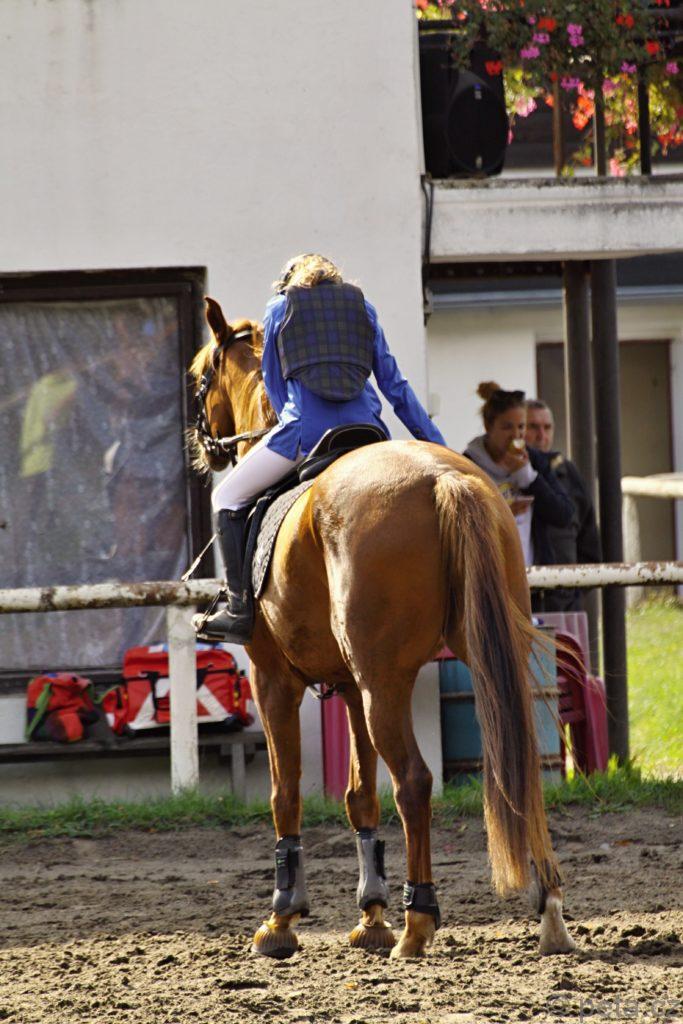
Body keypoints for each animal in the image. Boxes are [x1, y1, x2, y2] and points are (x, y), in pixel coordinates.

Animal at [188, 296, 576, 961]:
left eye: (201, 377)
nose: (204, 447)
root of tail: (445, 479)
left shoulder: (275, 680)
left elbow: (286, 793)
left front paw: (282, 920)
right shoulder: (347, 686)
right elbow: (358, 796)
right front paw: (370, 915)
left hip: (384, 684)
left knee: (414, 782)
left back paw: (420, 922)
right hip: (459, 665)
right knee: (517, 768)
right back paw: (546, 911)